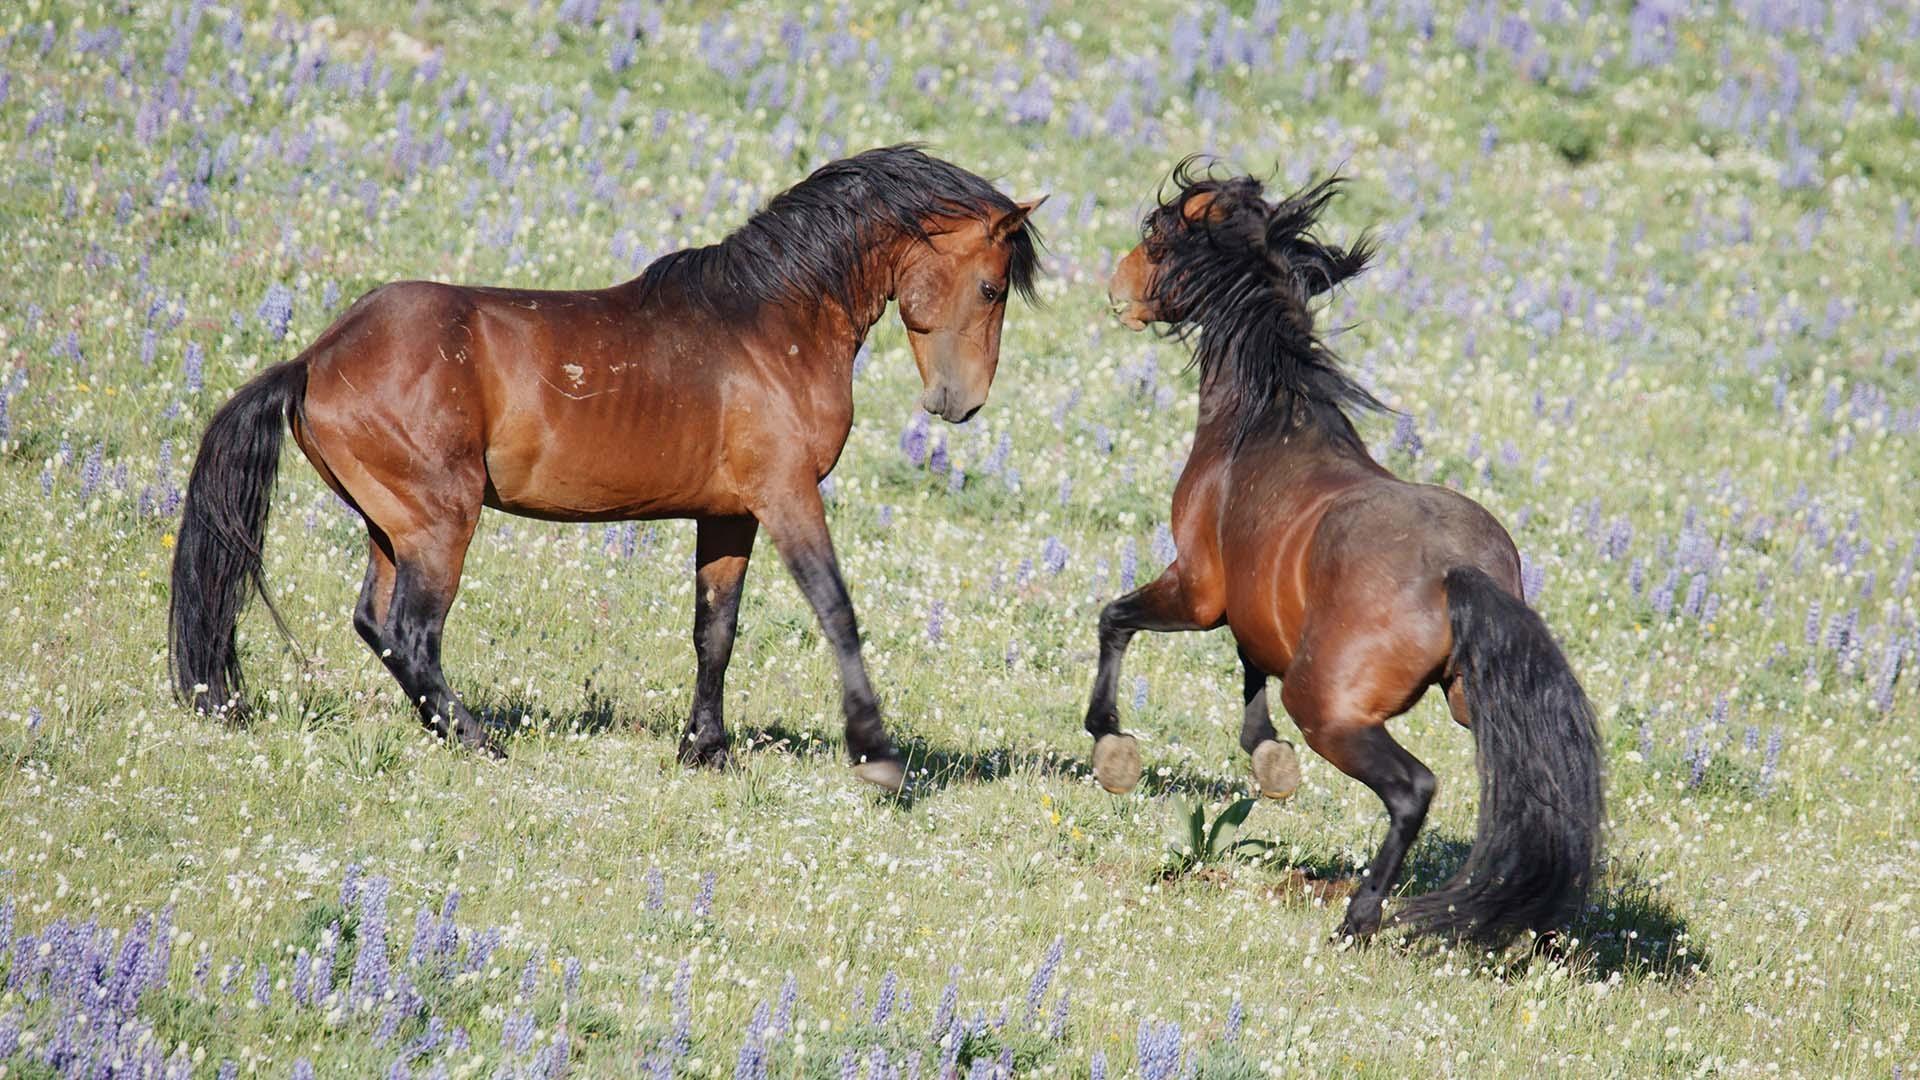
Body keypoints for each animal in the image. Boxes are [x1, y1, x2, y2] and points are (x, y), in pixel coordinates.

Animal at [168, 145, 1045, 793]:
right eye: (991, 286)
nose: (959, 404)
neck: (769, 325)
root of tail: (316, 357)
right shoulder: (786, 496)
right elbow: (837, 611)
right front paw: (877, 755)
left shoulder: (728, 514)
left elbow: (715, 632)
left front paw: (705, 749)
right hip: (440, 521)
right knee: (413, 632)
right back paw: (479, 742)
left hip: (393, 526)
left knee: (377, 625)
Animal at [1090, 163, 1602, 946]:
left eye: (1157, 237)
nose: (1117, 287)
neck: (1263, 422)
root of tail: (1458, 572)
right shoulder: (1255, 607)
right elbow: (1250, 663)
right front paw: (1267, 758)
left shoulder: (1198, 590)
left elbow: (1116, 619)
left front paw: (1110, 745)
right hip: (1472, 701)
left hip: (1329, 710)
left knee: (1414, 789)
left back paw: (1360, 917)